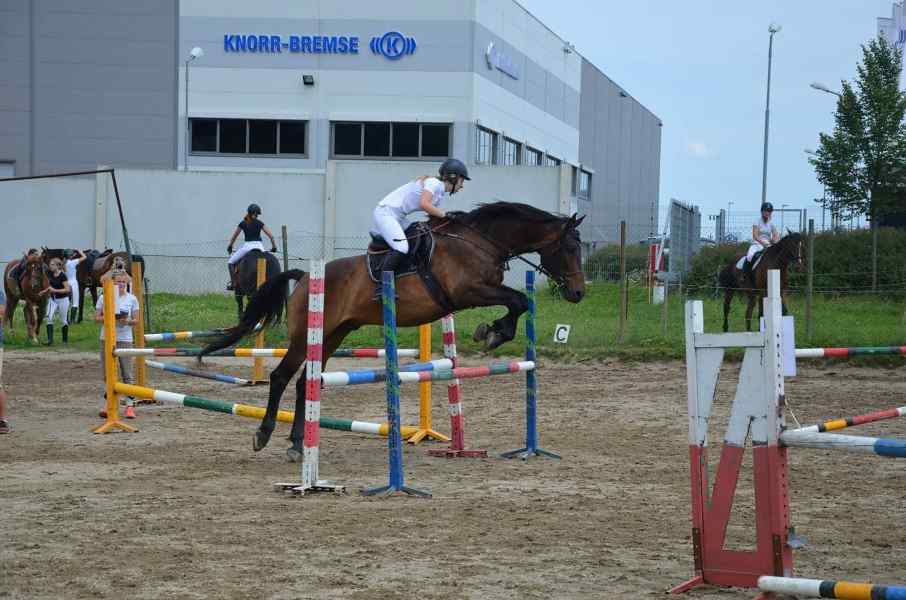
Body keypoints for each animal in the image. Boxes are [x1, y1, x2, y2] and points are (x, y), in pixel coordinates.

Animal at [202, 204, 588, 462]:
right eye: (570, 248)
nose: (578, 293)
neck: (481, 242)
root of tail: (305, 277)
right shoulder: (469, 291)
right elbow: (518, 300)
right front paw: (492, 332)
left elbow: (517, 301)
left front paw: (493, 331)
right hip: (306, 338)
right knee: (281, 377)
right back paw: (264, 435)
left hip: (333, 336)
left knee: (303, 384)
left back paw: (298, 445)